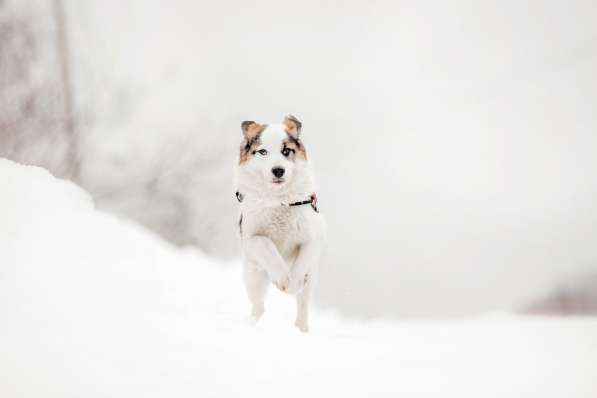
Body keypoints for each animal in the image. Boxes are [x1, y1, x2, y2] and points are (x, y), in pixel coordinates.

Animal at [234, 115, 326, 332]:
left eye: (286, 151)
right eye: (263, 152)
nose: (278, 170)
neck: (279, 201)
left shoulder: (314, 238)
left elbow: (303, 260)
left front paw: (293, 282)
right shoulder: (250, 239)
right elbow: (265, 243)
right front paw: (283, 278)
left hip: (312, 278)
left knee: (303, 304)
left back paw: (301, 329)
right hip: (253, 276)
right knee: (258, 305)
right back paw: (254, 323)